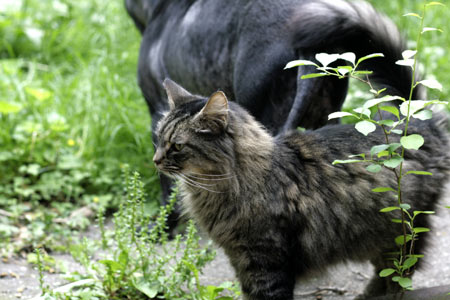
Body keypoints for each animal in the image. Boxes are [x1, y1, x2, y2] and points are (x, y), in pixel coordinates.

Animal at [153, 78, 448, 298]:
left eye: (177, 146)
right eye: (158, 139)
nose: (156, 160)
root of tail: (424, 125)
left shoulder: (265, 260)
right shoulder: (240, 258)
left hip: (399, 233)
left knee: (401, 273)